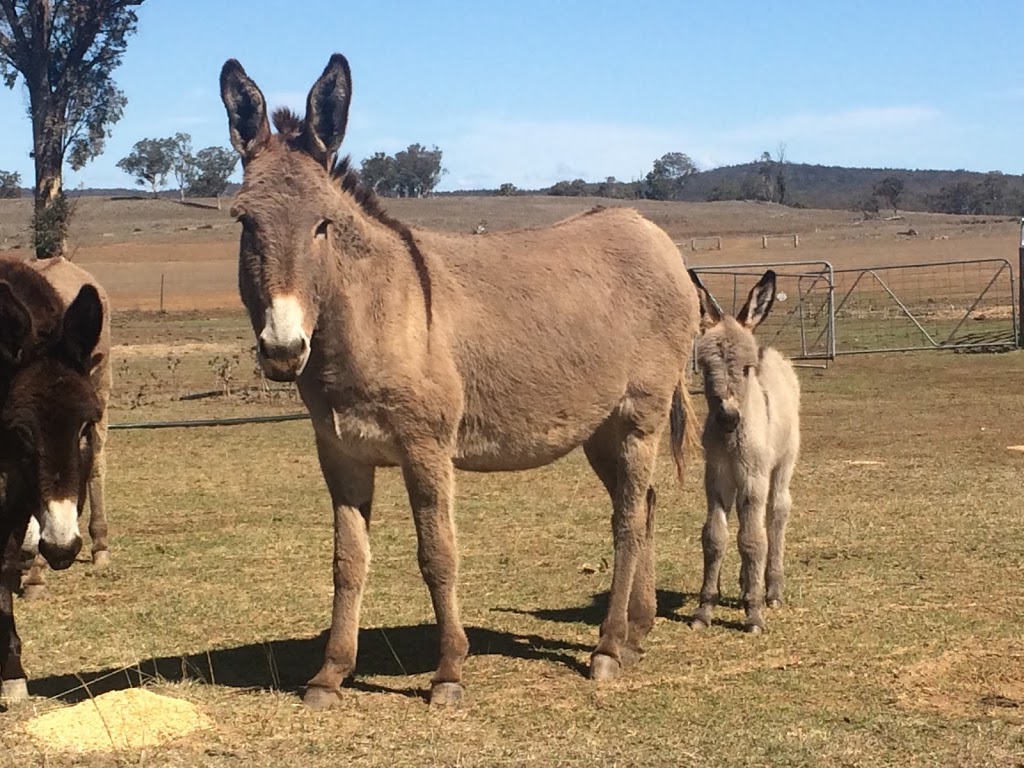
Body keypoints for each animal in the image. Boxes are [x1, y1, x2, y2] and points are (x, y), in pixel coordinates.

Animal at [688, 274, 798, 634]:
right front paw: (705, 608)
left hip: (782, 465)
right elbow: (715, 536)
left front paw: (754, 613)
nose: (728, 418)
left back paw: (771, 589)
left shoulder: (754, 476)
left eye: (747, 369)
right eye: (705, 367)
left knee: (775, 515)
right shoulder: (717, 477)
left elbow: (752, 539)